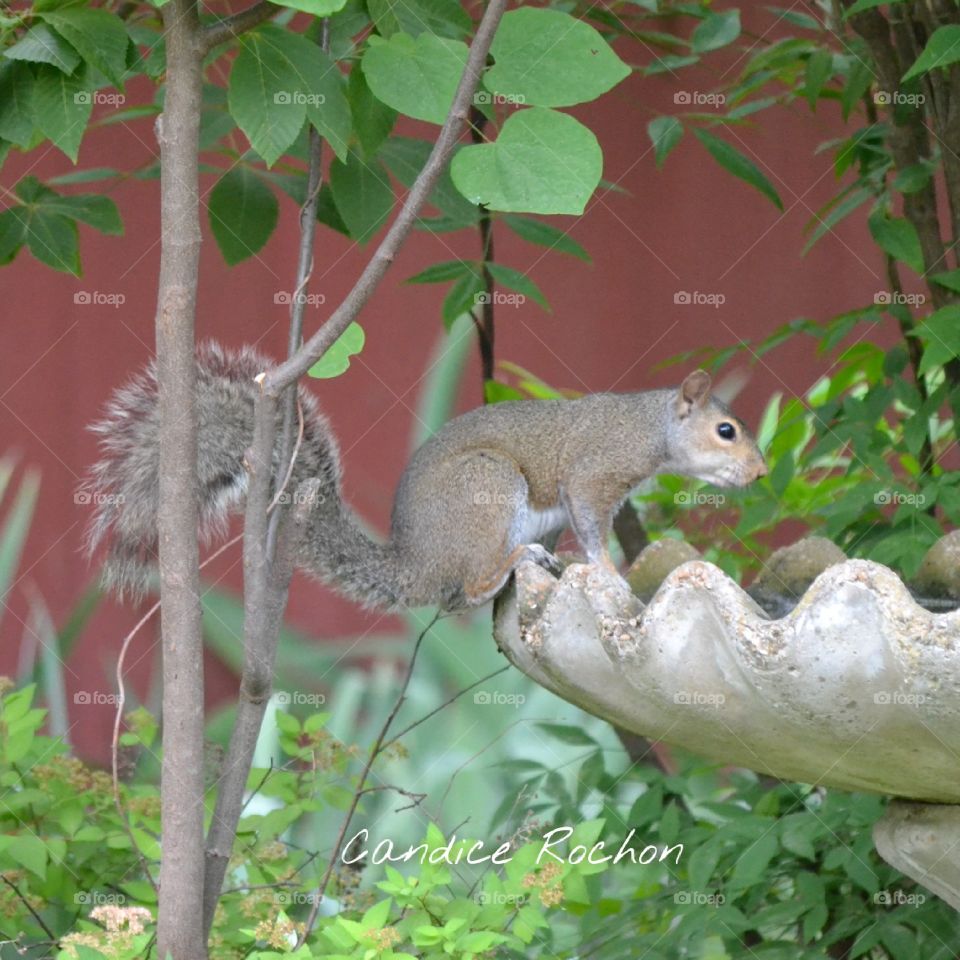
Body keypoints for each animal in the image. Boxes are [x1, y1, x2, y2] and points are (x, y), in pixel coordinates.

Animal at [82, 343, 768, 611]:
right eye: (726, 431)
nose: (761, 472)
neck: (650, 428)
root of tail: (416, 563)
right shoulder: (595, 474)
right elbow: (593, 526)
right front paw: (607, 574)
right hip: (488, 490)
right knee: (472, 586)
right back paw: (521, 558)